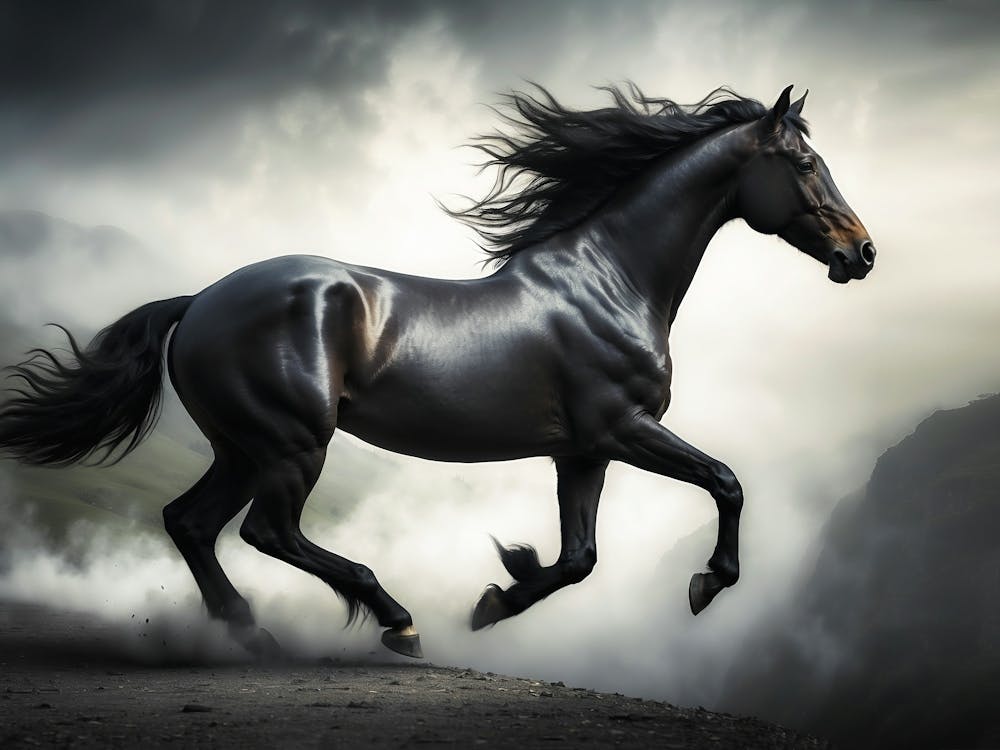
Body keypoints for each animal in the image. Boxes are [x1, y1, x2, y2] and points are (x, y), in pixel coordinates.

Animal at [0, 84, 875, 659]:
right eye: (803, 163)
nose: (862, 253)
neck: (610, 281)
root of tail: (201, 300)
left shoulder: (581, 452)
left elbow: (579, 559)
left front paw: (495, 598)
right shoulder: (624, 428)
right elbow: (726, 482)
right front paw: (706, 583)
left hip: (242, 447)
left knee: (190, 522)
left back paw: (253, 631)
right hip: (289, 444)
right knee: (264, 530)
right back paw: (394, 619)